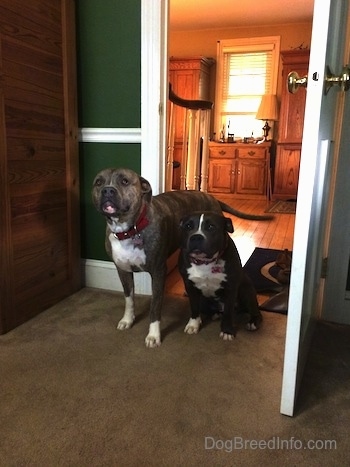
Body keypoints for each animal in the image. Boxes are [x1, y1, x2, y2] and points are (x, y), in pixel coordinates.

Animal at [178, 212, 262, 340]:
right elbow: (194, 307)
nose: (196, 237)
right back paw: (215, 314)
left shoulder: (230, 289)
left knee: (255, 311)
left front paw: (227, 331)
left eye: (211, 227)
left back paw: (253, 322)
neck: (205, 262)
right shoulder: (190, 287)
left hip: (246, 291)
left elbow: (228, 312)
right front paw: (193, 324)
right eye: (188, 226)